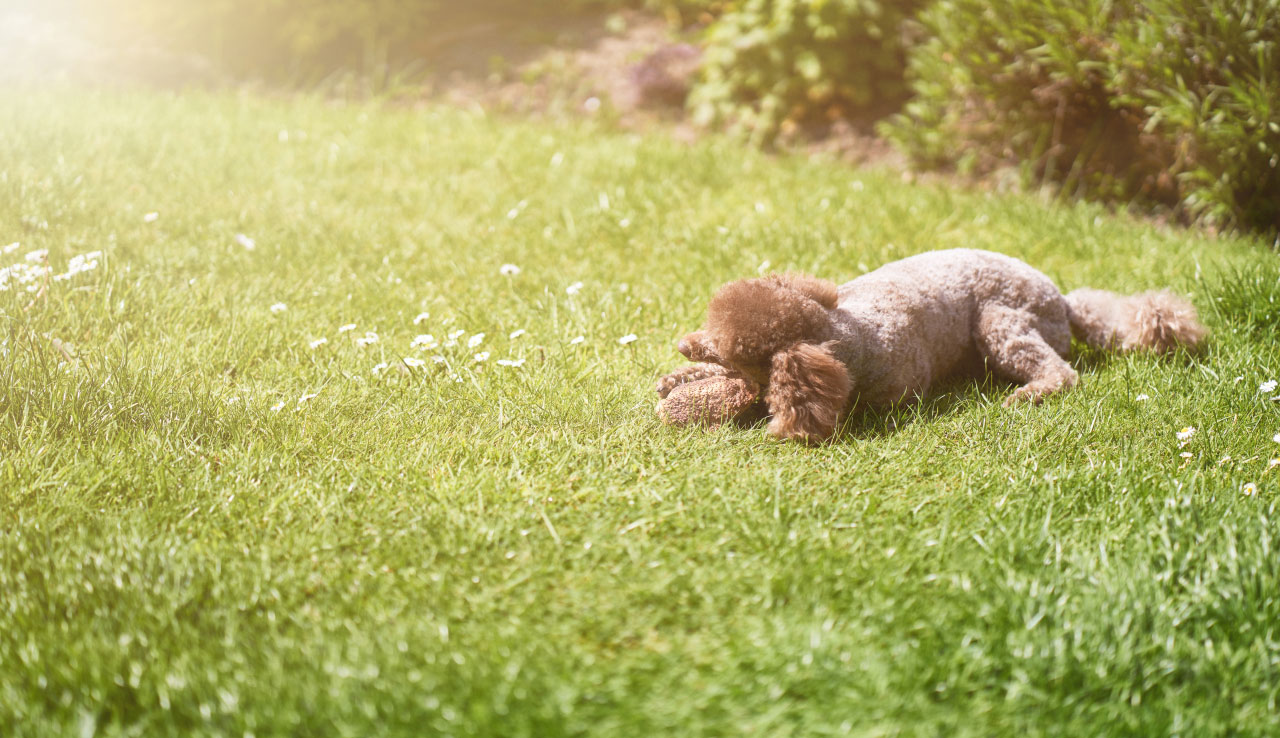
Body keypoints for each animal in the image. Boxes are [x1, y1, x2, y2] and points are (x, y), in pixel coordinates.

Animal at [660, 248, 1208, 442]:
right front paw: (678, 382)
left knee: (1061, 372)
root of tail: (1063, 301)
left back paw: (1028, 394)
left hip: (1001, 323)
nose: (685, 343)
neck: (849, 333)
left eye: (724, 346)